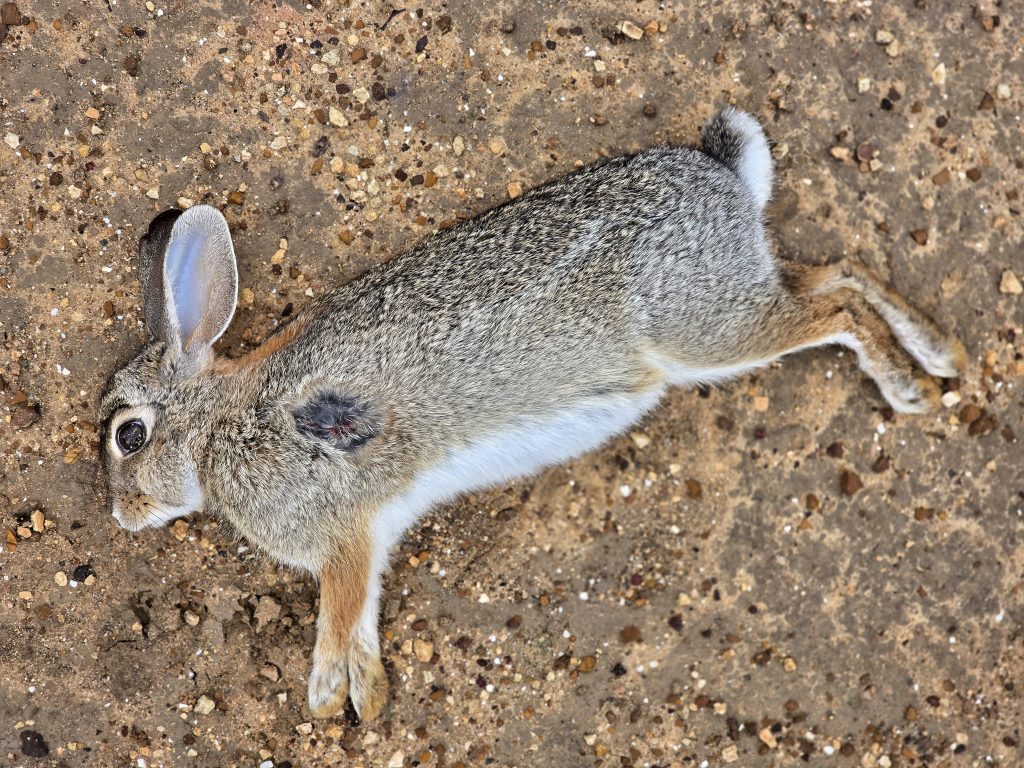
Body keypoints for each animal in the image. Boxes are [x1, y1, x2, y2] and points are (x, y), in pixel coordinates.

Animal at [99, 106, 965, 721]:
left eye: (128, 435)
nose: (119, 517)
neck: (219, 429)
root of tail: (722, 173)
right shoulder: (366, 539)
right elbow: (366, 621)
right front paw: (368, 697)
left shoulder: (343, 531)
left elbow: (338, 620)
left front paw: (327, 699)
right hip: (737, 294)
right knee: (843, 270)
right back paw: (942, 353)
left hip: (704, 330)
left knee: (838, 306)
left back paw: (910, 387)